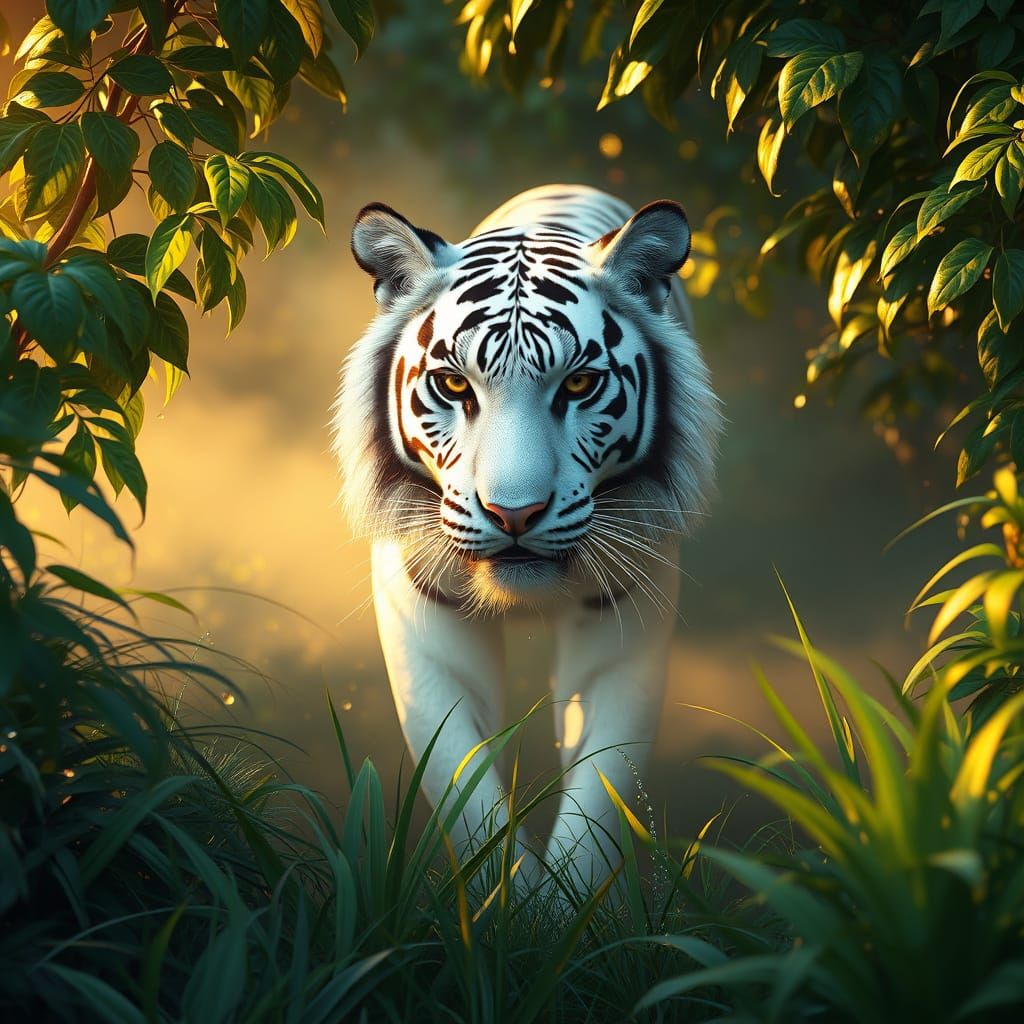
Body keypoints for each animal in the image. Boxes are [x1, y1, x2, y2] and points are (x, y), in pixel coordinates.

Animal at [333, 184, 722, 892]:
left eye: (579, 383)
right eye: (454, 384)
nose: (514, 513)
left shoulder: (622, 630)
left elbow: (598, 797)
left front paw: (562, 906)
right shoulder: (430, 634)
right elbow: (466, 791)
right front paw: (507, 899)